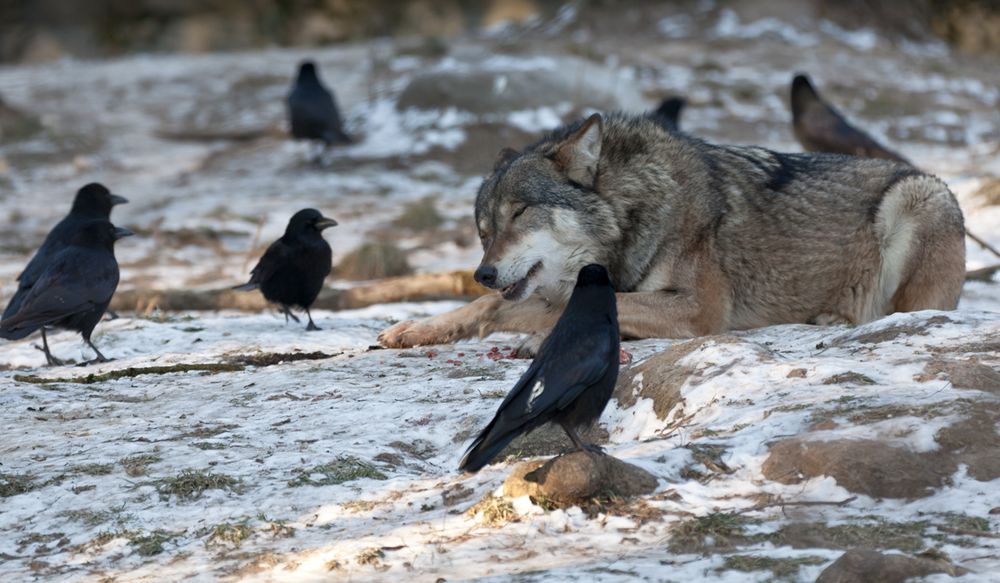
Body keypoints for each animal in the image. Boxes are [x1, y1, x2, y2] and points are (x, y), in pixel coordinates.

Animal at [378, 114, 964, 352]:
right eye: (484, 229)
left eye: (521, 213)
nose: (483, 272)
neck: (634, 212)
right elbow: (490, 309)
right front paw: (416, 329)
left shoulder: (698, 310)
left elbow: (591, 306)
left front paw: (539, 337)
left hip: (918, 196)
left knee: (904, 310)